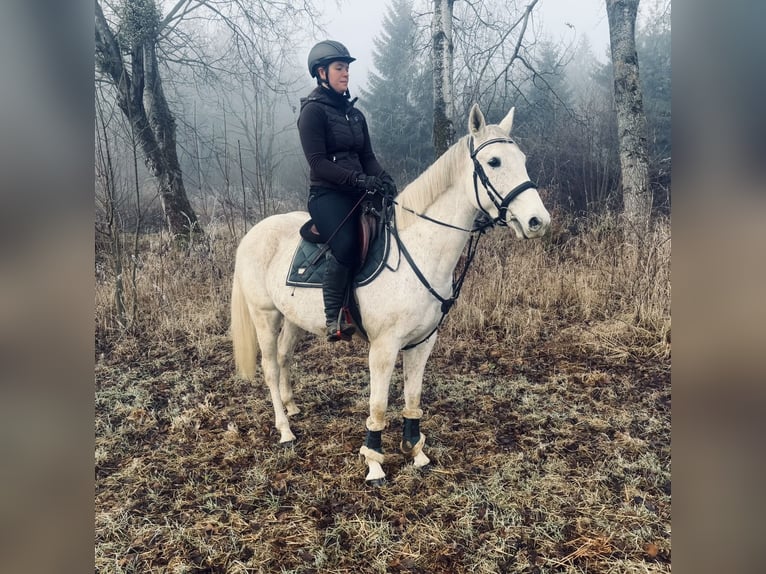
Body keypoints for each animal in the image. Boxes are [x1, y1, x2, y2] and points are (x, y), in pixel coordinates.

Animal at [230, 103, 551, 485]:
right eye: (494, 162)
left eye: (523, 159)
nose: (538, 221)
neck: (419, 249)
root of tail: (253, 234)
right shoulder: (383, 348)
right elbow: (379, 405)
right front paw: (374, 464)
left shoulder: (422, 342)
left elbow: (412, 398)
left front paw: (416, 452)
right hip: (265, 316)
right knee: (269, 368)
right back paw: (285, 430)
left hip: (292, 318)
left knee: (283, 358)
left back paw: (292, 406)